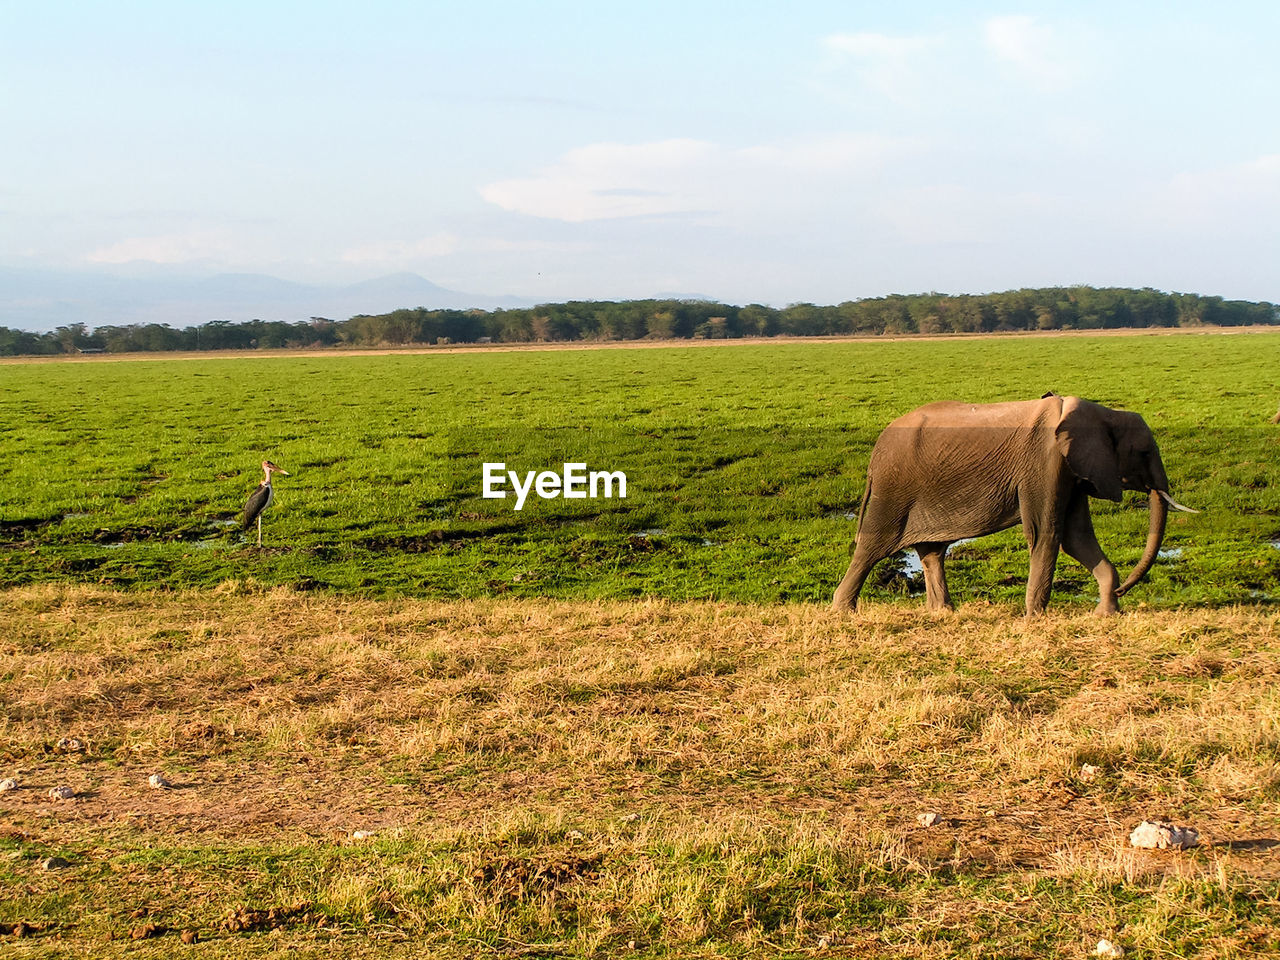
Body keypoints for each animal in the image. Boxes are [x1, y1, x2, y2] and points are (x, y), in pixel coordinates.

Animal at [834, 396, 1192, 616]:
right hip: (893, 489)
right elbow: (1047, 533)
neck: (1101, 412)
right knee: (872, 547)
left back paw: (943, 612)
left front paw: (1106, 614)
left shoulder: (1070, 470)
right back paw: (843, 611)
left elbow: (1077, 537)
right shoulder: (1044, 462)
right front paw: (1035, 617)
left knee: (932, 550)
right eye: (1144, 453)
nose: (1123, 591)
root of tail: (875, 453)